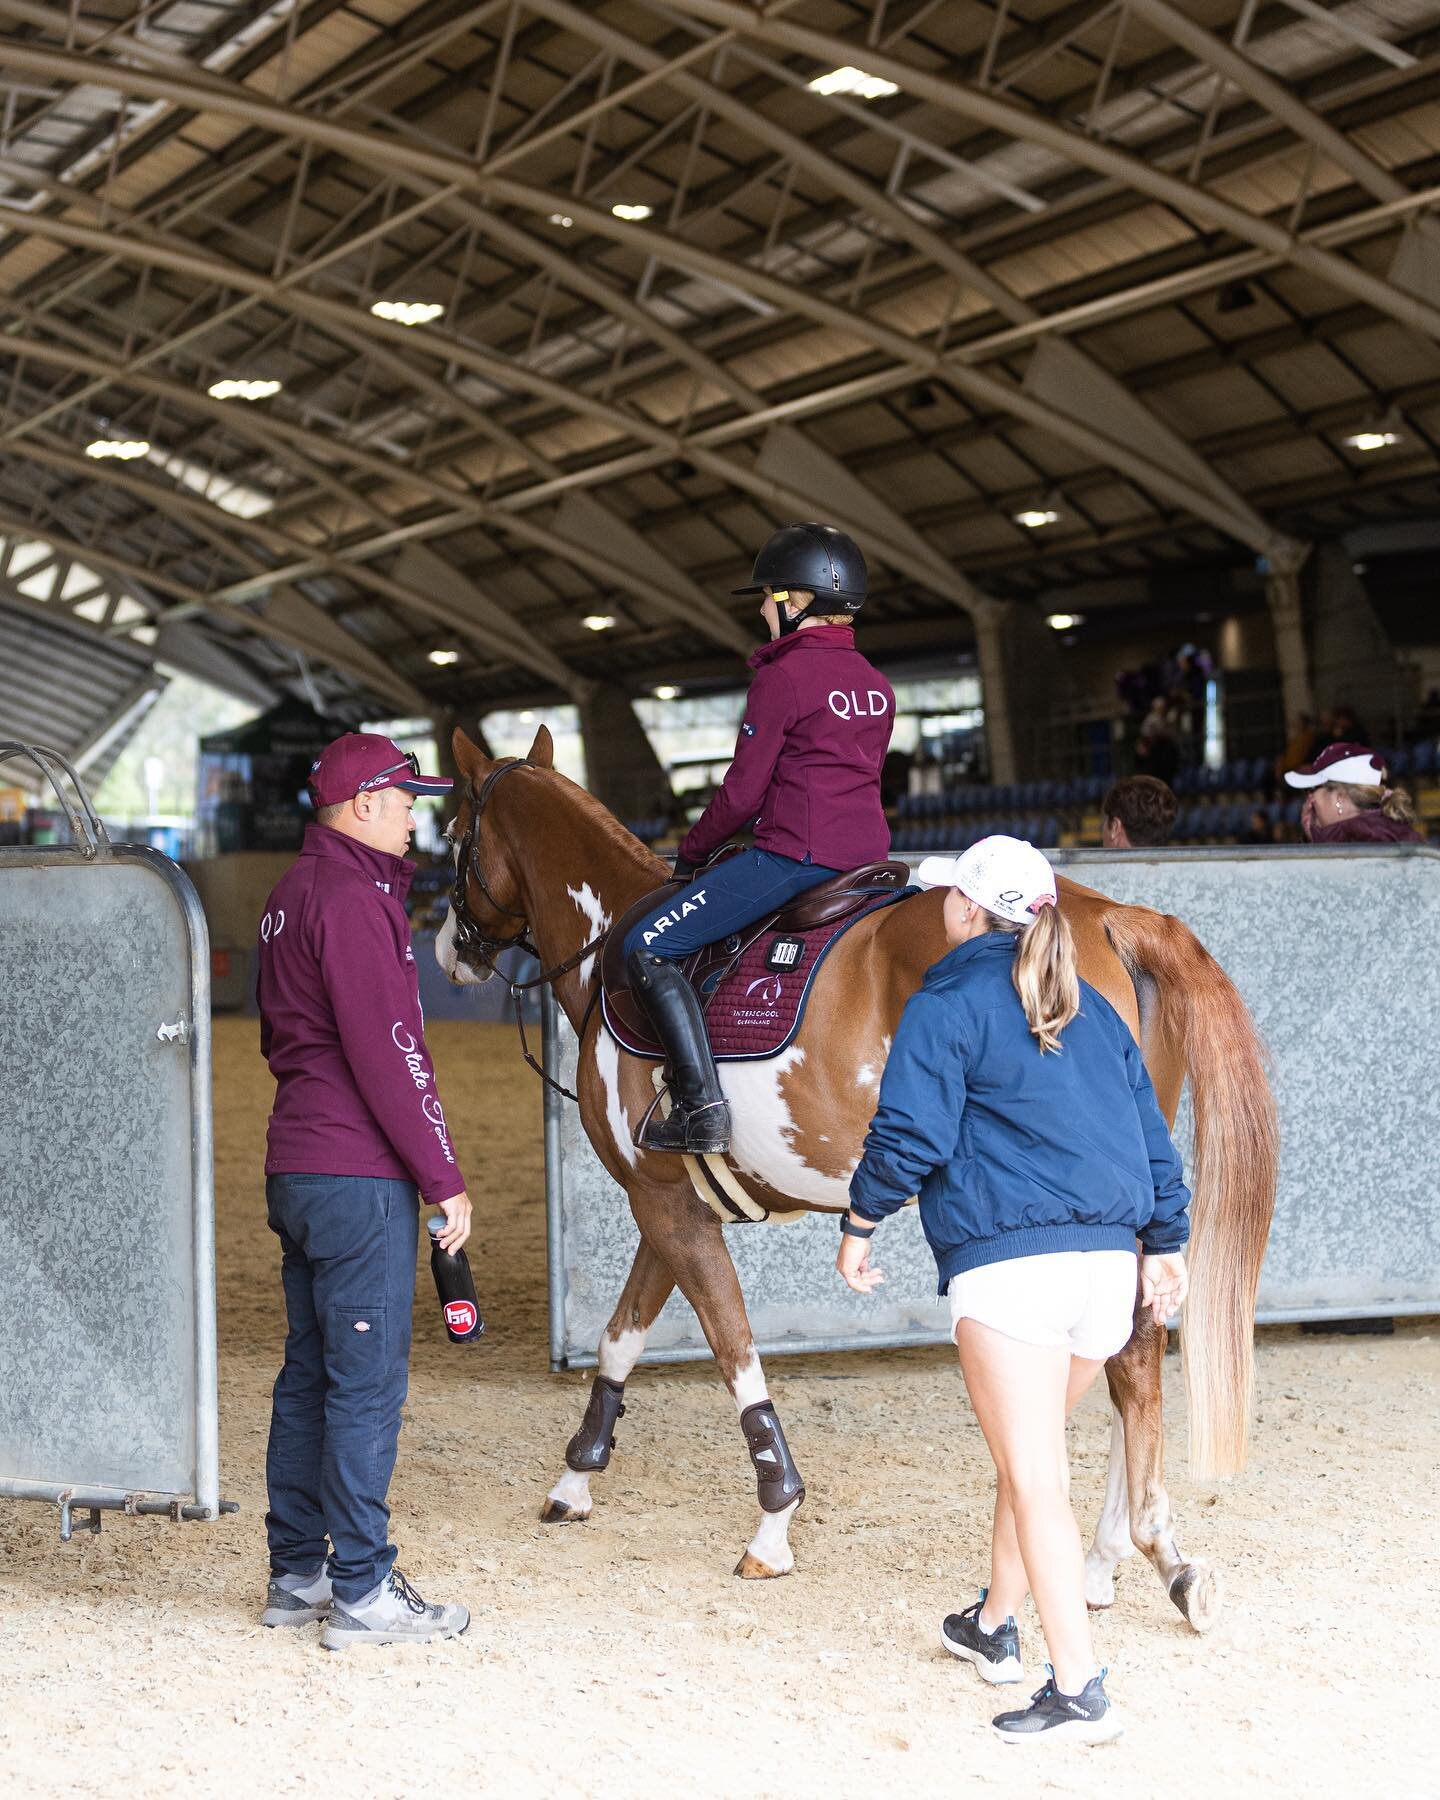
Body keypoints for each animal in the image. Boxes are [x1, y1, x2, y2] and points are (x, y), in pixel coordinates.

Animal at [441, 723, 1281, 1627]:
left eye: (453, 837)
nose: (447, 949)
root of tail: (1109, 916)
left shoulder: (664, 1206)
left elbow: (731, 1348)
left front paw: (773, 1523)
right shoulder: (669, 1203)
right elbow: (622, 1335)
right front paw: (576, 1477)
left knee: (1130, 1356)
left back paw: (1147, 1554)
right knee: (1137, 1342)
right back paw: (1114, 1558)